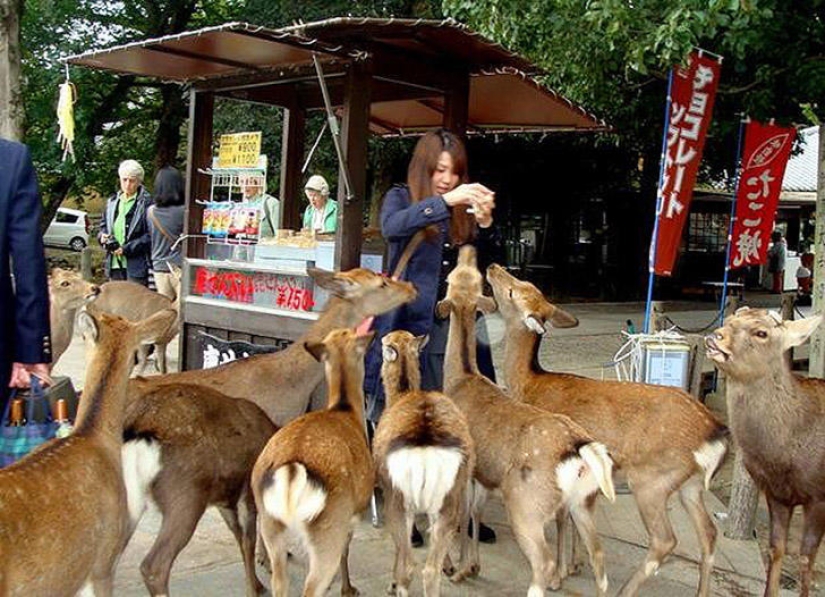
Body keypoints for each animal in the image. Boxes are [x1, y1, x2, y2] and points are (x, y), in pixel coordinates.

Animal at [252, 328, 377, 597]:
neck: (345, 410)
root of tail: (292, 470)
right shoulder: (352, 514)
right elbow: (346, 552)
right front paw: (348, 589)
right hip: (328, 528)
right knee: (311, 585)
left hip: (270, 524)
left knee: (279, 581)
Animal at [373, 330, 476, 596]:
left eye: (383, 343)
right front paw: (449, 566)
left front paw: (391, 583)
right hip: (450, 497)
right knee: (431, 568)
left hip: (398, 499)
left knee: (410, 564)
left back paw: (398, 584)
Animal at [435, 246, 616, 597]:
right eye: (467, 278)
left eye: (448, 280)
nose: (483, 260)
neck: (461, 378)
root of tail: (578, 448)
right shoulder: (483, 474)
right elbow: (475, 512)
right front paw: (471, 566)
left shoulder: (462, 466)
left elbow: (461, 514)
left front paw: (458, 569)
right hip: (584, 501)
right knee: (598, 552)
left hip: (526, 504)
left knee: (542, 561)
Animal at [486, 263, 729, 597]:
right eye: (525, 283)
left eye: (512, 291)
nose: (492, 267)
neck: (529, 385)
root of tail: (716, 433)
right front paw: (575, 563)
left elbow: (561, 517)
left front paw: (559, 575)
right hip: (690, 485)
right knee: (709, 532)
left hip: (652, 481)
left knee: (665, 540)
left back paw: (624, 590)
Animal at [706, 307, 825, 597]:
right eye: (729, 320)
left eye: (762, 333)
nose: (716, 335)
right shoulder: (776, 494)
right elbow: (776, 549)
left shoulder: (819, 496)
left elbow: (806, 559)